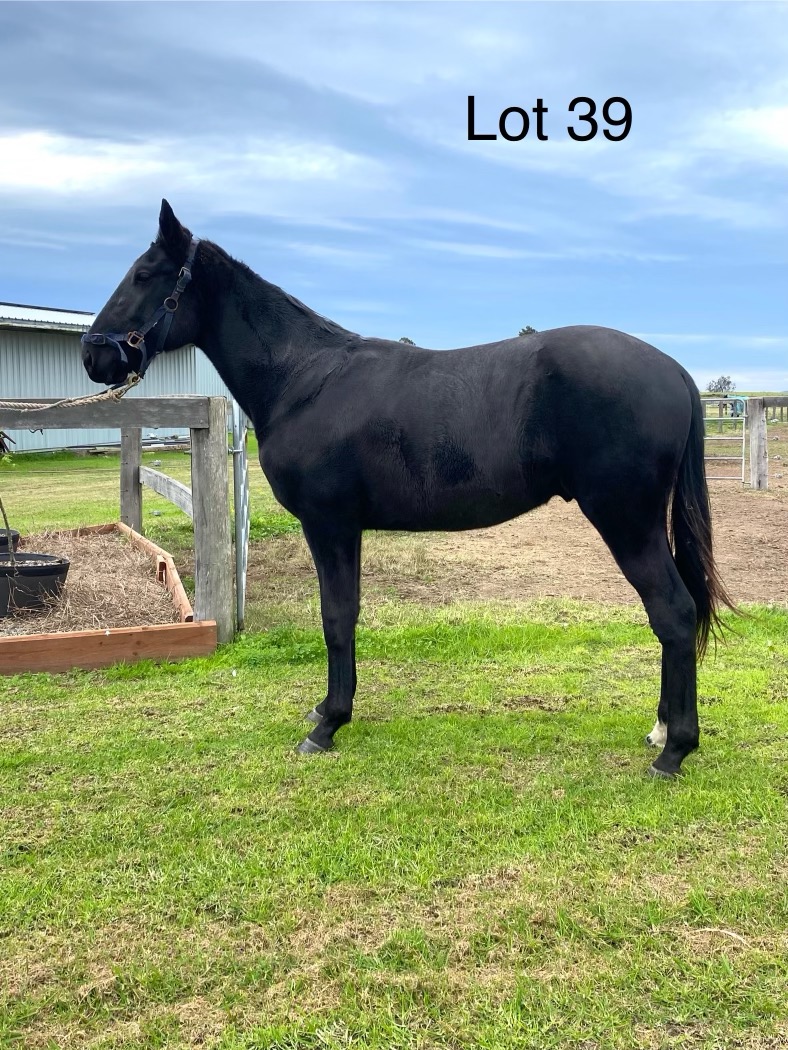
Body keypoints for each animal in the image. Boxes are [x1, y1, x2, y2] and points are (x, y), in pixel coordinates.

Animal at [82, 200, 733, 778]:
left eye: (144, 275)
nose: (94, 355)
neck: (304, 378)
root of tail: (674, 370)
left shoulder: (330, 524)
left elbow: (337, 616)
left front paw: (328, 723)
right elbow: (344, 614)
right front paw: (328, 711)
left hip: (626, 521)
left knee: (673, 612)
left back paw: (674, 751)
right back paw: (661, 730)